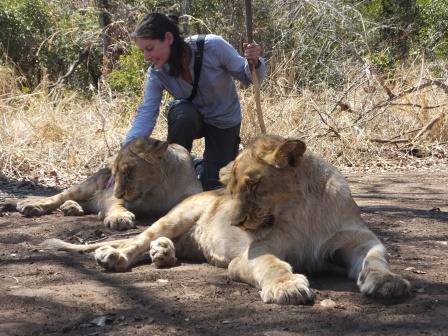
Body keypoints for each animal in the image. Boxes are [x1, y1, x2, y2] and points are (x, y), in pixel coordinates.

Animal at [13, 136, 203, 228]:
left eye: (128, 171)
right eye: (115, 173)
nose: (118, 193)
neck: (160, 188)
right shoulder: (111, 197)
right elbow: (114, 205)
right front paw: (119, 218)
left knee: (83, 203)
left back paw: (72, 207)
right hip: (86, 186)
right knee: (57, 197)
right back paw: (31, 206)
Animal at [43, 135, 412, 304]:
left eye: (253, 184)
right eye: (231, 188)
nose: (234, 224)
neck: (304, 209)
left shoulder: (358, 239)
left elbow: (375, 258)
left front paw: (387, 282)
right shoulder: (253, 253)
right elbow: (272, 265)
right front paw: (287, 286)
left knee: (167, 246)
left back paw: (164, 254)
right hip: (177, 215)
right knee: (137, 240)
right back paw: (114, 255)